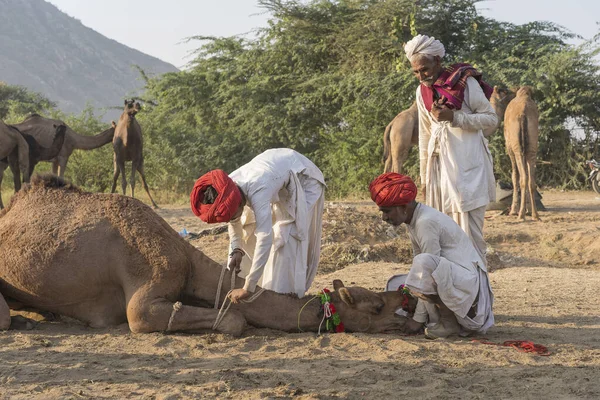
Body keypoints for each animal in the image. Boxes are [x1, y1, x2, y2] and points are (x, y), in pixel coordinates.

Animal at [502, 85, 540, 220]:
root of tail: (523, 113)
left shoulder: (510, 148)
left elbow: (514, 176)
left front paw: (513, 210)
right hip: (532, 147)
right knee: (531, 180)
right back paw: (535, 215)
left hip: (517, 148)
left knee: (522, 177)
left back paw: (521, 214)